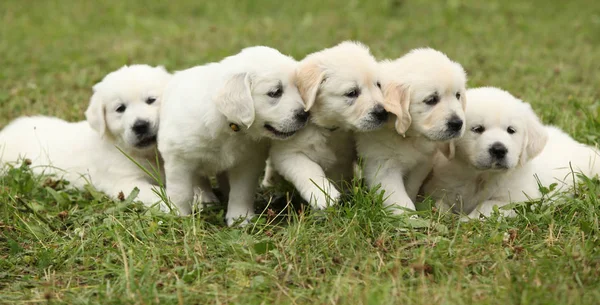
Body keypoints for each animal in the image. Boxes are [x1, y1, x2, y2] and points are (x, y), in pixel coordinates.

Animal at [158, 46, 310, 224]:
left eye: (298, 88)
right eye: (275, 92)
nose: (305, 114)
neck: (230, 128)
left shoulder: (248, 162)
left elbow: (241, 192)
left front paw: (240, 219)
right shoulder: (178, 157)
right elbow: (180, 191)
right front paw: (177, 215)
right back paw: (205, 199)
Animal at [264, 41, 386, 209]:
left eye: (378, 85)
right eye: (352, 93)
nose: (383, 112)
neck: (330, 129)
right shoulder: (288, 152)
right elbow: (308, 169)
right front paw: (324, 196)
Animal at [356, 48, 468, 214]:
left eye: (458, 95)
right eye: (431, 100)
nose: (458, 123)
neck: (408, 136)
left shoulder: (422, 163)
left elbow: (411, 187)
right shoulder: (382, 166)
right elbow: (399, 199)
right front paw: (409, 216)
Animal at [422, 86, 600, 217]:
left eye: (511, 130)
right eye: (477, 129)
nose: (499, 149)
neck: (480, 177)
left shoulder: (521, 199)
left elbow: (487, 205)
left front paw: (467, 219)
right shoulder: (440, 188)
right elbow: (438, 204)